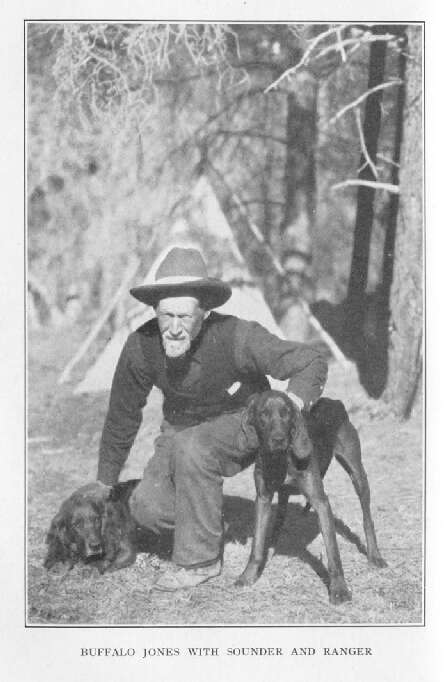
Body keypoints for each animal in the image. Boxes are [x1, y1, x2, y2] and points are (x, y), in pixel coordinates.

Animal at [236, 390, 386, 604]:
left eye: (287, 413)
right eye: (263, 414)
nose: (279, 439)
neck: (281, 459)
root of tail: (332, 401)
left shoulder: (321, 502)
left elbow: (333, 552)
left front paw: (339, 589)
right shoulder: (263, 499)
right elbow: (256, 545)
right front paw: (248, 575)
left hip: (358, 475)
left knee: (367, 518)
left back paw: (374, 556)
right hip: (283, 496)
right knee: (278, 522)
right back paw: (271, 547)